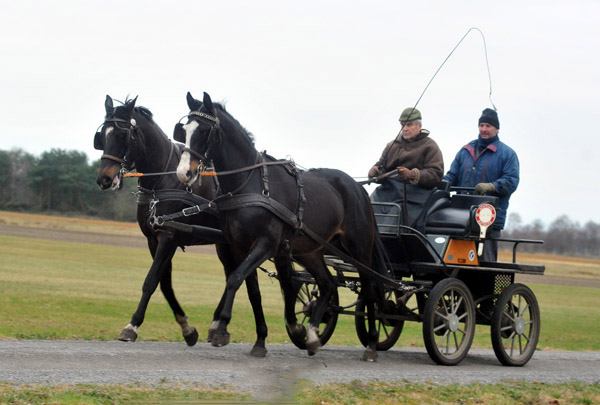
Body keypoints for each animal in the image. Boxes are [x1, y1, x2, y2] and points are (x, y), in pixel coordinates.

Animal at [93, 96, 268, 356]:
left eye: (123, 136)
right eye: (102, 136)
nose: (104, 179)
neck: (162, 180)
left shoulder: (169, 236)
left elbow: (151, 280)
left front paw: (132, 325)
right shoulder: (153, 239)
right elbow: (164, 284)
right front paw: (187, 328)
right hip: (225, 244)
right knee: (232, 273)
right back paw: (216, 325)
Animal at [175, 90, 390, 360]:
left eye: (204, 132)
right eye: (184, 131)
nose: (184, 173)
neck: (250, 184)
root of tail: (358, 188)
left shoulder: (265, 244)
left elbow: (234, 279)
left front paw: (221, 327)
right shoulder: (240, 247)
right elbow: (252, 290)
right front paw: (261, 340)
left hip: (359, 249)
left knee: (369, 289)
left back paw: (371, 343)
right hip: (311, 250)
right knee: (328, 285)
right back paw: (312, 335)